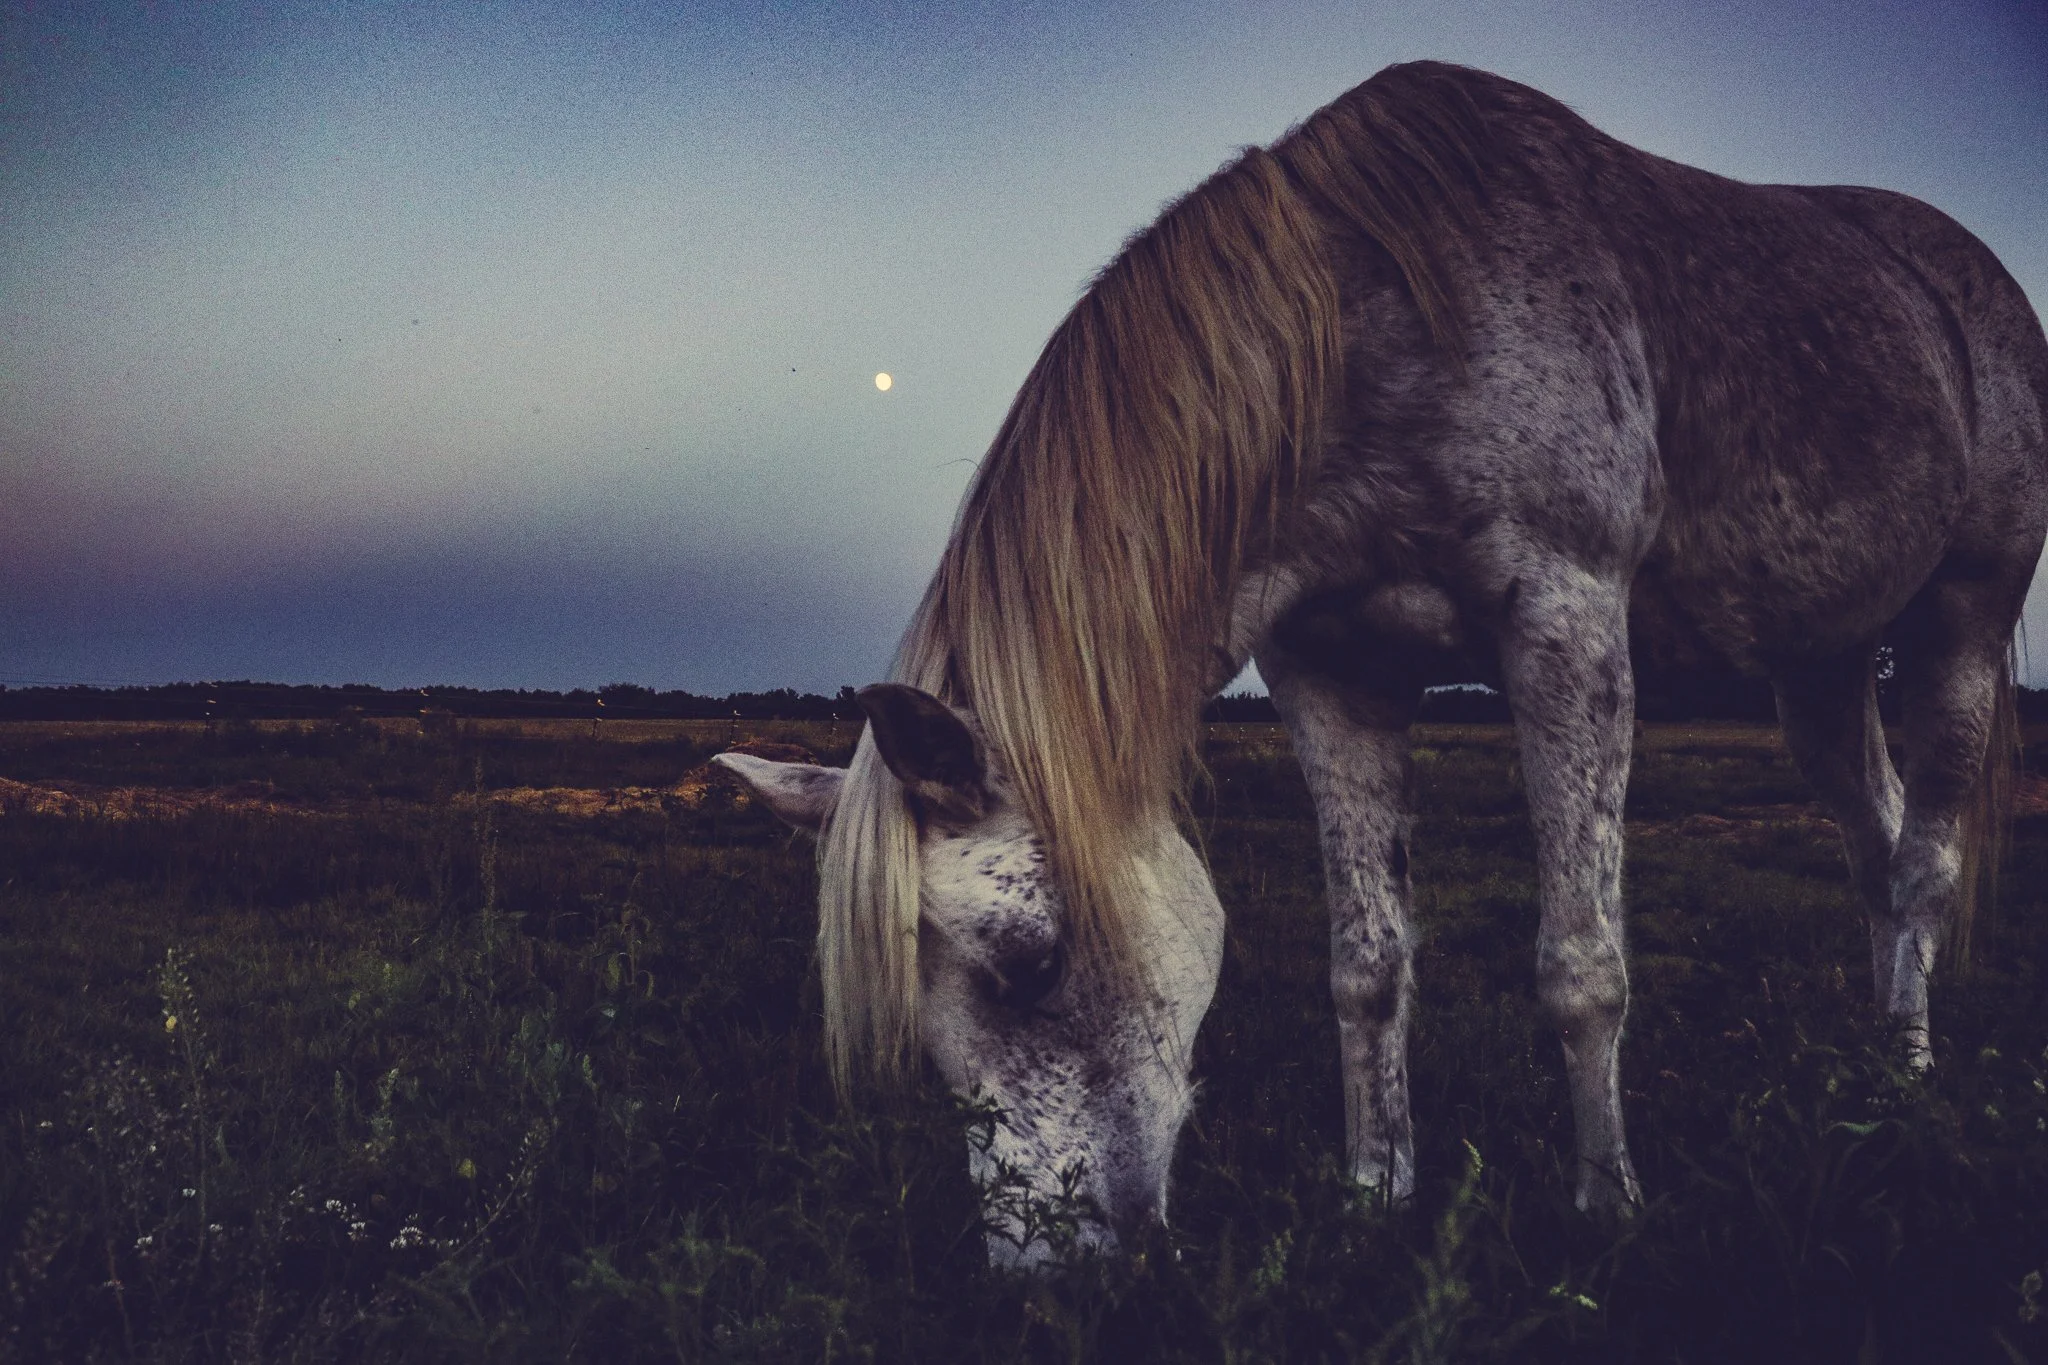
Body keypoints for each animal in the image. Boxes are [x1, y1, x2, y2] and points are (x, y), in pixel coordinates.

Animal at [715, 60, 2048, 1267]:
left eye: (1030, 966)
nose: (1043, 1273)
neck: (1382, 331)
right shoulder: (1329, 670)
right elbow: (1365, 963)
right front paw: (1372, 1195)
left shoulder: (1564, 622)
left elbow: (1582, 962)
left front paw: (1605, 1211)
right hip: (1819, 664)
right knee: (1874, 845)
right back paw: (1874, 1065)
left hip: (1962, 617)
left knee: (1920, 865)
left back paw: (1909, 1089)